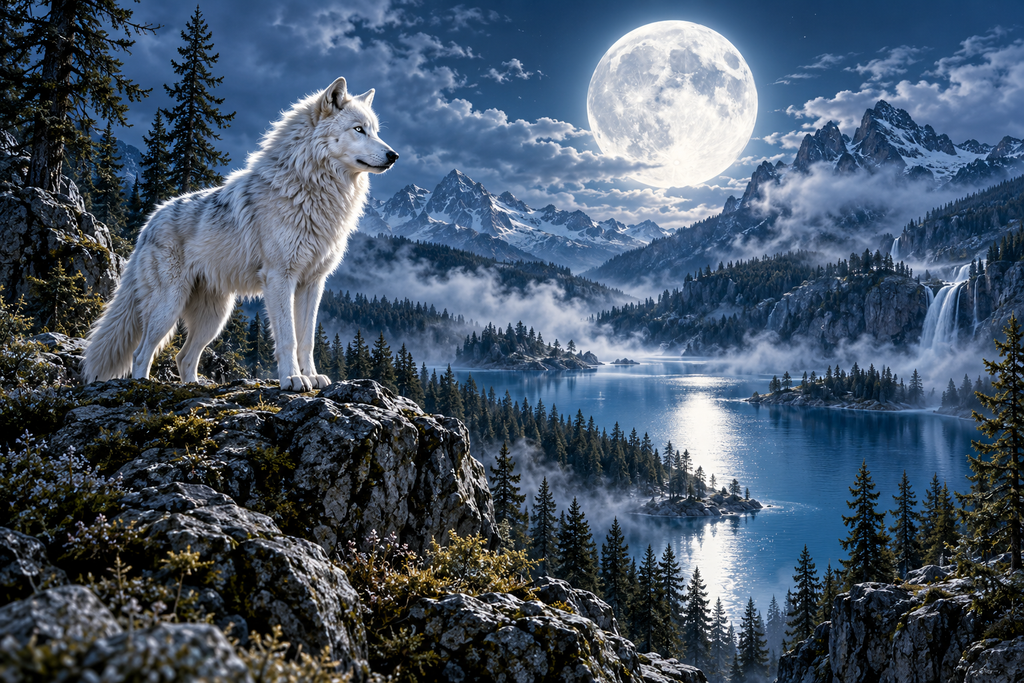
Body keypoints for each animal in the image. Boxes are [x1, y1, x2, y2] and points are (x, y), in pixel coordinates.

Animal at [83, 77, 397, 391]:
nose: (393, 155)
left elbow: (306, 340)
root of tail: (149, 222)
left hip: (214, 318)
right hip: (169, 306)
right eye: (359, 129)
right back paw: (144, 386)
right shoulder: (279, 277)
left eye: (376, 131)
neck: (311, 189)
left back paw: (195, 386)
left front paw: (312, 376)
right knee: (141, 353)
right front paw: (292, 378)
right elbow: (288, 338)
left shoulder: (313, 283)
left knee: (184, 357)